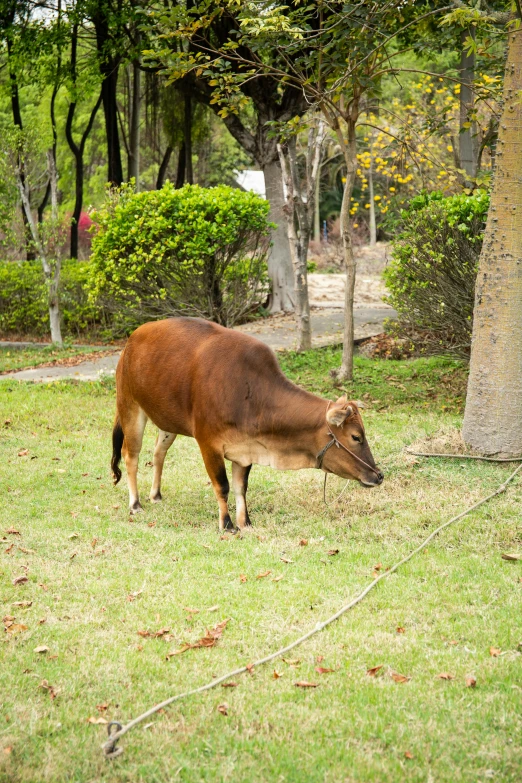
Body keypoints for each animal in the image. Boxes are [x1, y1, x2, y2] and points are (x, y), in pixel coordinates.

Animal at [110, 318, 382, 532]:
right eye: (356, 437)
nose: (378, 475)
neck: (250, 393)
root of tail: (133, 338)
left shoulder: (246, 448)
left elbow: (241, 487)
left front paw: (245, 522)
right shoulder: (208, 444)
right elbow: (223, 485)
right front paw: (227, 524)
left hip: (167, 421)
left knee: (158, 453)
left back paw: (155, 495)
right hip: (130, 408)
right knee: (131, 456)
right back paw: (135, 504)